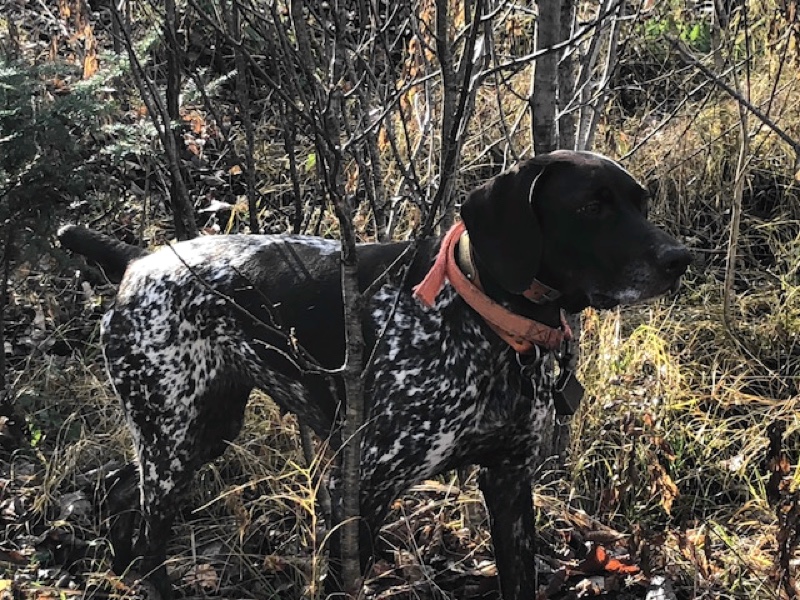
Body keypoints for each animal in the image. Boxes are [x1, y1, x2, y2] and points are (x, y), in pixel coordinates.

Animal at [59, 149, 692, 596]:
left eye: (639, 203)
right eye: (591, 206)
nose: (681, 259)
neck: (482, 319)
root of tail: (137, 263)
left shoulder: (509, 482)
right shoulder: (363, 488)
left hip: (200, 429)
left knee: (121, 504)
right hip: (175, 435)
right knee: (146, 535)